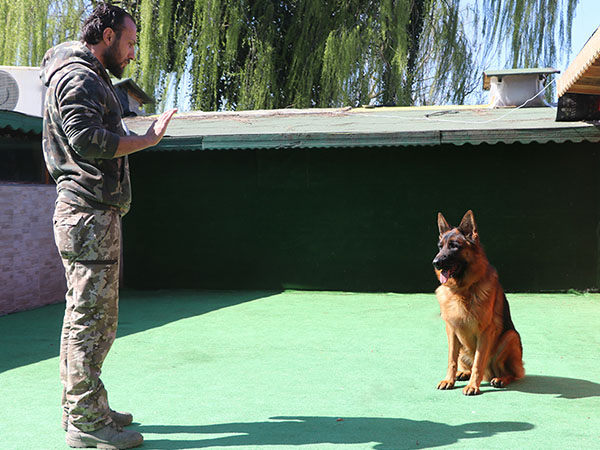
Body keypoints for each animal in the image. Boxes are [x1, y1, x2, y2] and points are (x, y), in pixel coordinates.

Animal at [432, 211, 524, 394]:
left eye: (454, 246)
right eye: (440, 246)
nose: (435, 263)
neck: (462, 290)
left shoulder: (485, 332)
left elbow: (478, 361)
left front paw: (473, 386)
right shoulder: (451, 330)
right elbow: (451, 360)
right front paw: (449, 380)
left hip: (510, 337)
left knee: (512, 373)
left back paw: (500, 379)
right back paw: (463, 373)